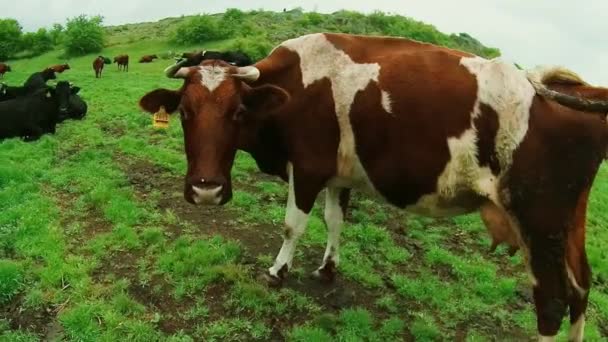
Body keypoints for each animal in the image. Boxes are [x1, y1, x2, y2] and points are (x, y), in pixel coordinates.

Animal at [139, 32, 608, 342]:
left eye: (237, 112)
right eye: (185, 112)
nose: (206, 190)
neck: (294, 85)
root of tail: (577, 90)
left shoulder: (306, 168)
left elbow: (294, 224)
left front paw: (277, 271)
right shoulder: (338, 174)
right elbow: (334, 220)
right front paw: (327, 269)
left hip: (538, 219)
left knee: (552, 301)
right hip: (568, 222)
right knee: (581, 289)